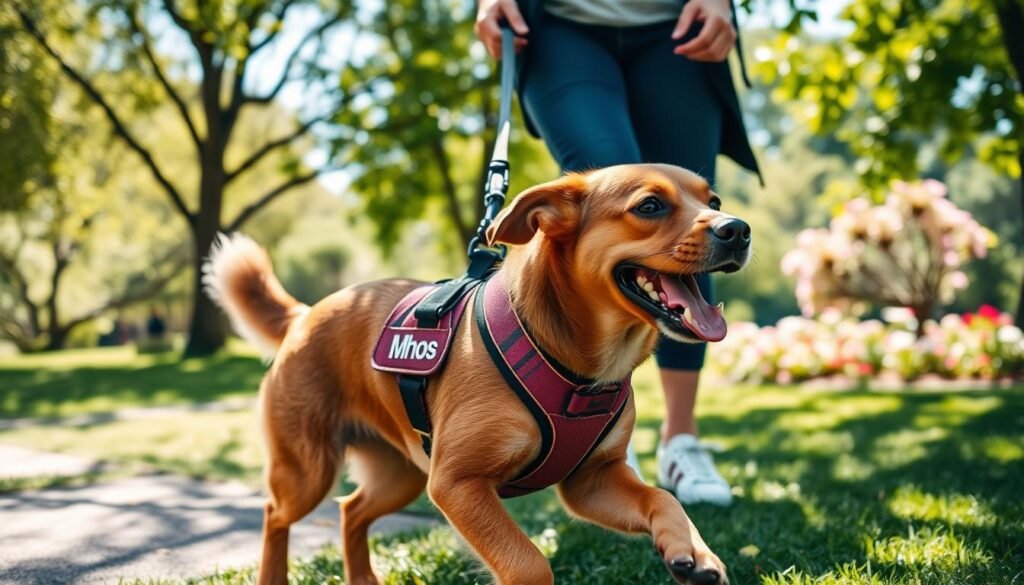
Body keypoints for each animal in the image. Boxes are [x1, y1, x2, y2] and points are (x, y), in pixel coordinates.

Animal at [205, 163, 753, 585]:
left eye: (714, 199)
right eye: (650, 206)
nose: (738, 229)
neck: (576, 365)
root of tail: (305, 314)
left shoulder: (591, 481)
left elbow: (662, 497)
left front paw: (692, 549)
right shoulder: (457, 483)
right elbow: (529, 564)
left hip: (399, 475)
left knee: (351, 511)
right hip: (308, 470)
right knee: (275, 514)